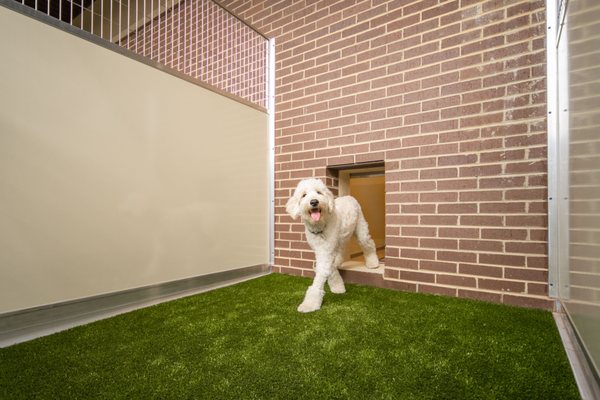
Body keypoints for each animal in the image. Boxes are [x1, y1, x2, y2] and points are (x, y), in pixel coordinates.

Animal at [288, 178, 380, 312]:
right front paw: (338, 287)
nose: (314, 202)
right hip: (341, 240)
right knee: (340, 255)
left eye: (319, 192)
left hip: (361, 230)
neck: (320, 227)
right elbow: (329, 268)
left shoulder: (326, 251)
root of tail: (349, 197)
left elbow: (321, 276)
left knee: (369, 244)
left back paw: (373, 263)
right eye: (304, 195)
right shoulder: (321, 250)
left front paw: (309, 304)